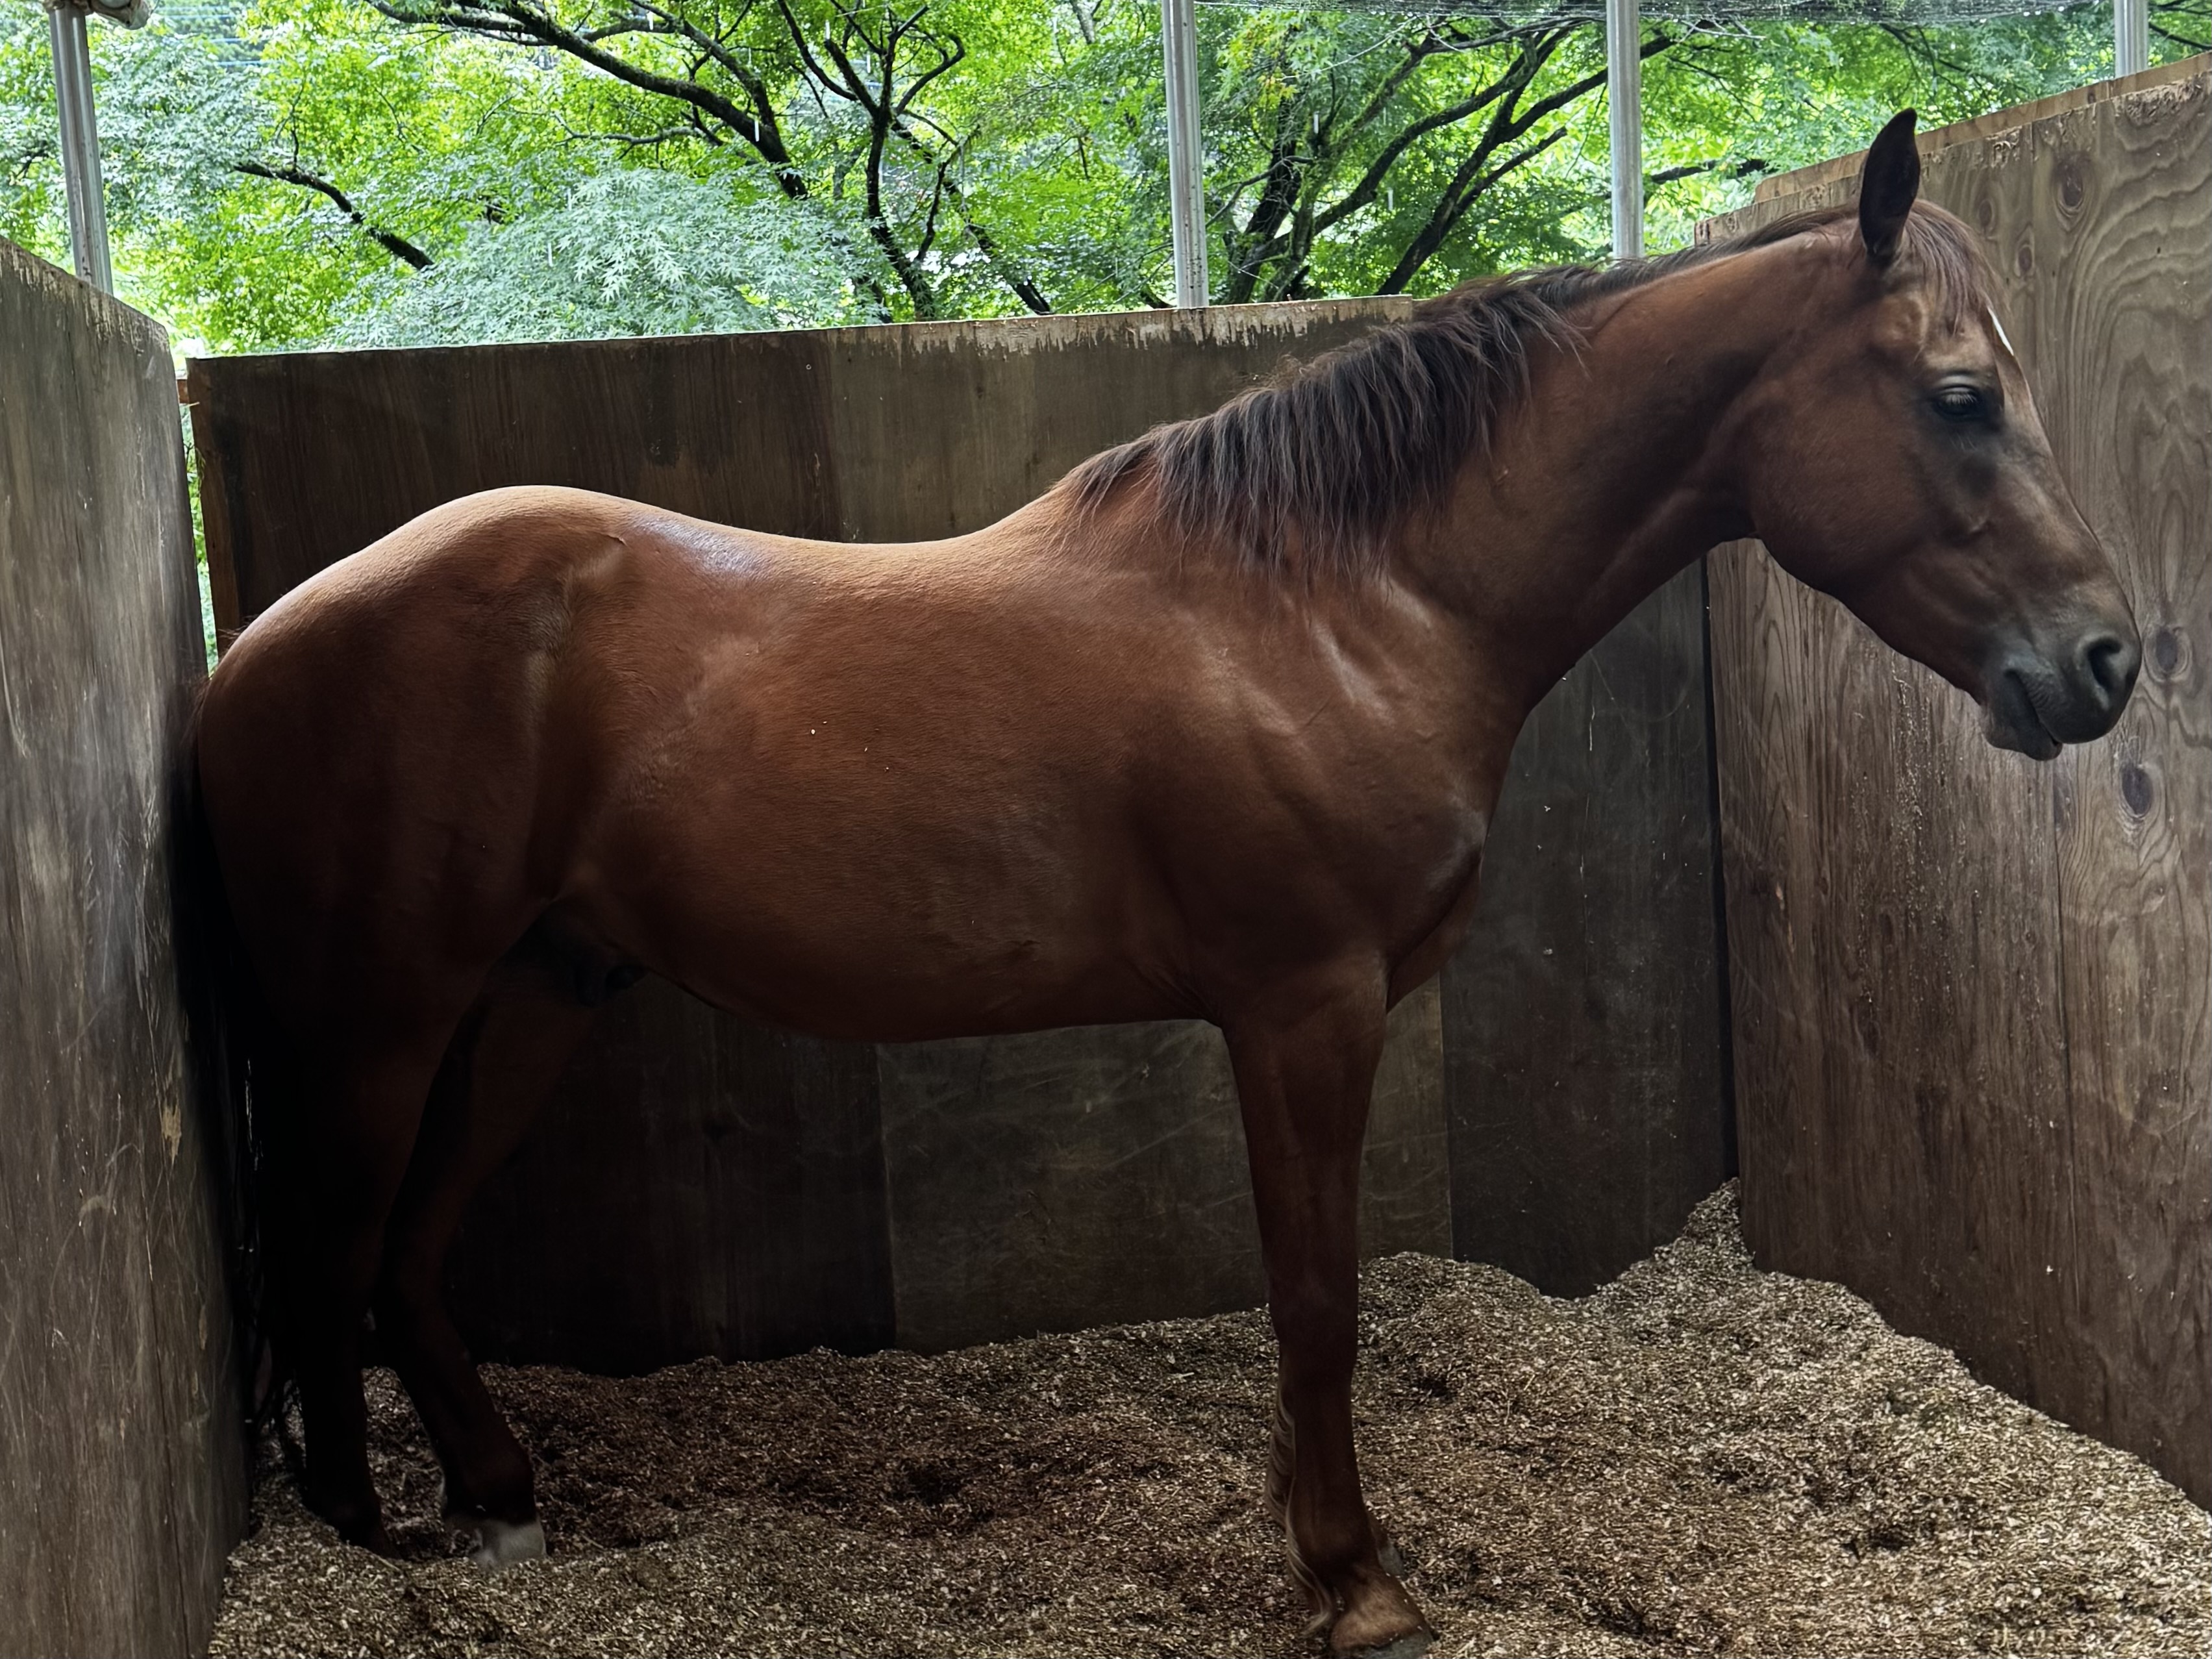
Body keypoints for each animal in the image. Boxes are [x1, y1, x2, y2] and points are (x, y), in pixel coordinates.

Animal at [191, 112, 2137, 1655]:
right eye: (1958, 399)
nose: (2102, 661)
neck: (1344, 603)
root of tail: (257, 642)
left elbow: (1307, 1301)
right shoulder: (1301, 1008)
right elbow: (1316, 1299)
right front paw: (1353, 1579)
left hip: (542, 987)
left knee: (410, 1254)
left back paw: (499, 1497)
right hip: (383, 1021)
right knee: (340, 1242)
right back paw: (371, 1534)